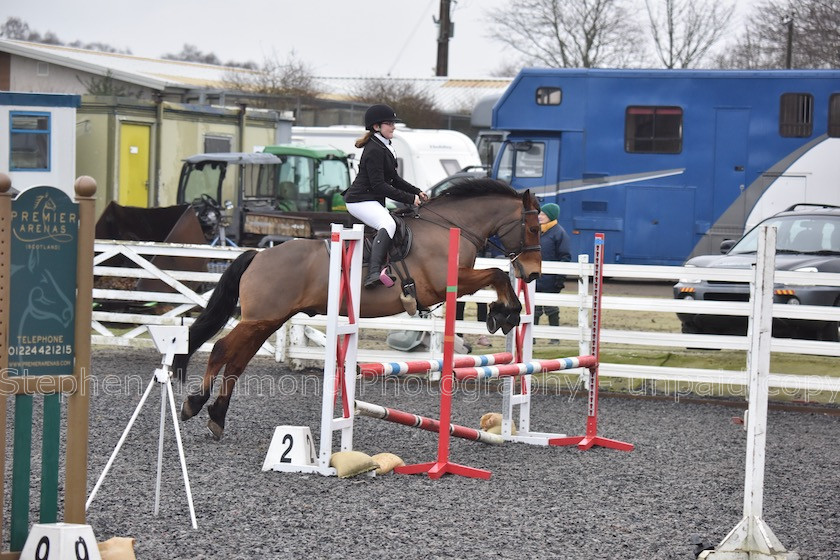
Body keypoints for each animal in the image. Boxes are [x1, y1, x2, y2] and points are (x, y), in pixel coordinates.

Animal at [177, 178, 544, 438]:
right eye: (532, 228)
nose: (533, 273)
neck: (450, 228)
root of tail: (259, 255)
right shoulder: (446, 283)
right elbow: (497, 273)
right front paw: (505, 314)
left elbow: (498, 276)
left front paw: (503, 314)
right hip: (259, 319)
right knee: (222, 350)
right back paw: (194, 404)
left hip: (267, 321)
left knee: (237, 361)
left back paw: (216, 417)